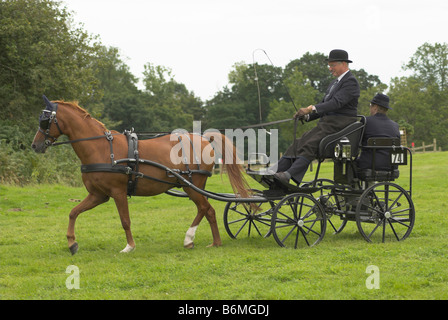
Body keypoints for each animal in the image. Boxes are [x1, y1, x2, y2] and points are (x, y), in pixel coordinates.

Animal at [31, 95, 252, 255]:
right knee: (204, 209)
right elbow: (73, 212)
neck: (102, 148)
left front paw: (129, 246)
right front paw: (72, 243)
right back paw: (196, 240)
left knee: (208, 209)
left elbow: (125, 220)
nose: (34, 145)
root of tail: (204, 139)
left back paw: (209, 241)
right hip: (190, 185)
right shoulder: (98, 195)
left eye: (45, 120)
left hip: (192, 184)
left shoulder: (118, 192)